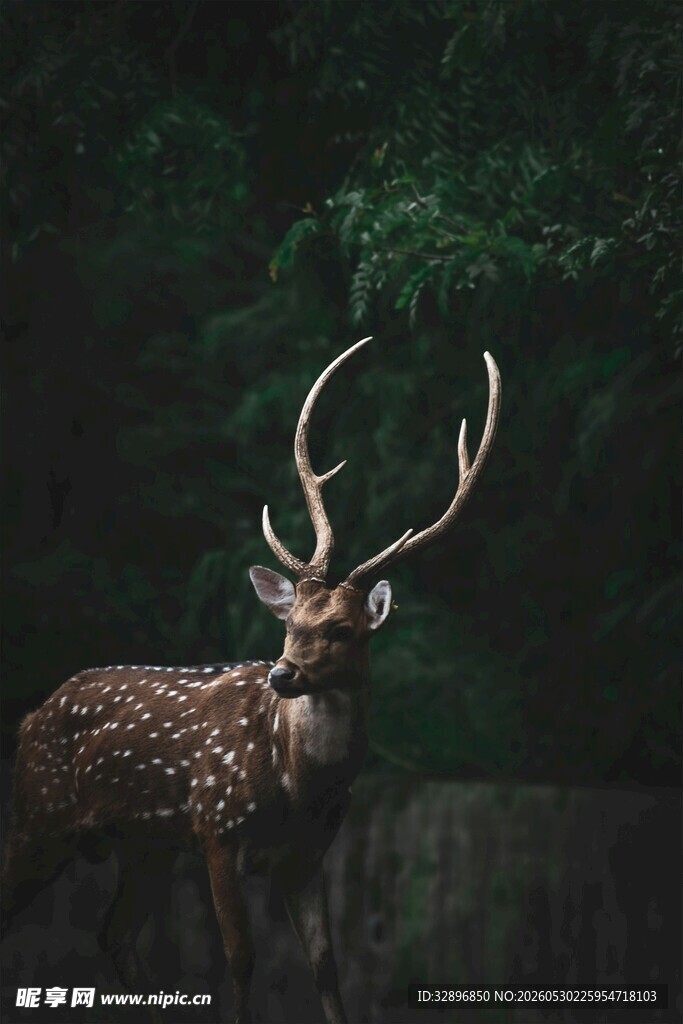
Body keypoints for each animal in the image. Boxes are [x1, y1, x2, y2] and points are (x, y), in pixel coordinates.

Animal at [2, 337, 501, 1024]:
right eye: (289, 622)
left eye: (341, 629)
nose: (282, 674)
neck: (297, 785)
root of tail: (32, 716)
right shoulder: (217, 826)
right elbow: (240, 959)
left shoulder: (309, 855)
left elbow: (327, 967)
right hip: (40, 812)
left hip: (143, 844)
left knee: (113, 932)